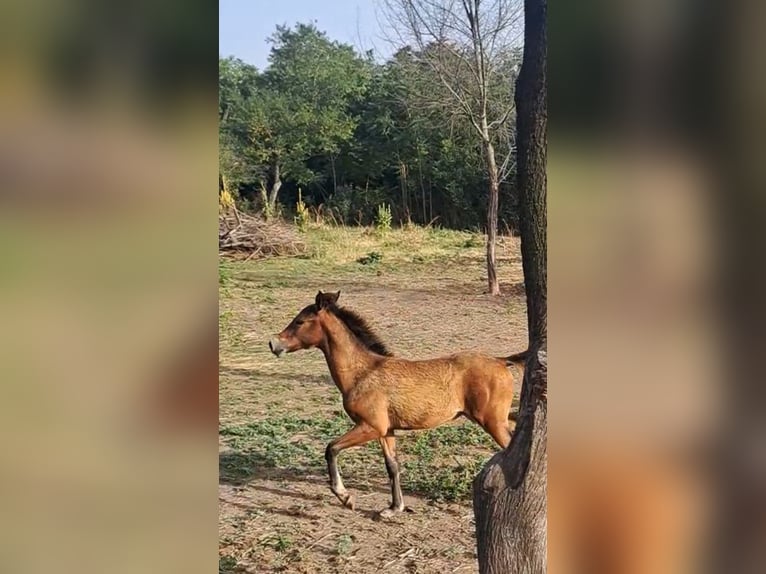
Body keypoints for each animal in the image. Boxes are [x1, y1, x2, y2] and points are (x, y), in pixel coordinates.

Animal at [270, 290, 528, 520]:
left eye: (300, 321)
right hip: (499, 417)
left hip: (492, 421)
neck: (362, 372)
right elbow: (392, 466)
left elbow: (331, 448)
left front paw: (345, 496)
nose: (273, 344)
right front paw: (394, 508)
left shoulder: (370, 426)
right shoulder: (387, 430)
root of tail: (501, 361)